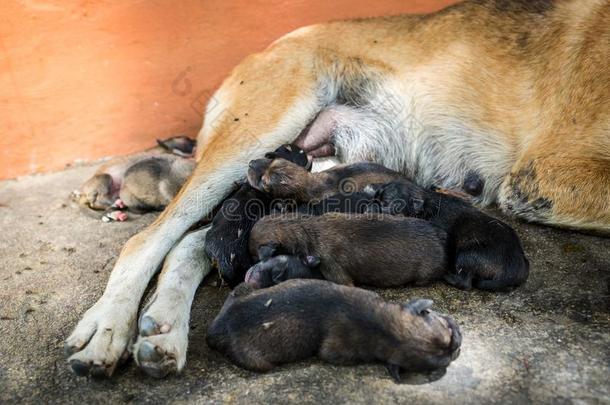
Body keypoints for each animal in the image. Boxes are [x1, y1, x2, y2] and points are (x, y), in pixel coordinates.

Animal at [207, 278, 458, 378]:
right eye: (437, 363)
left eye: (446, 329)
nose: (455, 348)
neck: (384, 325)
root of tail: (217, 329)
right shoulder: (337, 349)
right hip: (256, 360)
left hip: (243, 287)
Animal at [372, 180, 524, 290]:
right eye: (375, 198)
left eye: (385, 205)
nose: (371, 203)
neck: (424, 205)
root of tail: (514, 270)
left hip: (467, 255)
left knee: (465, 282)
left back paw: (448, 276)